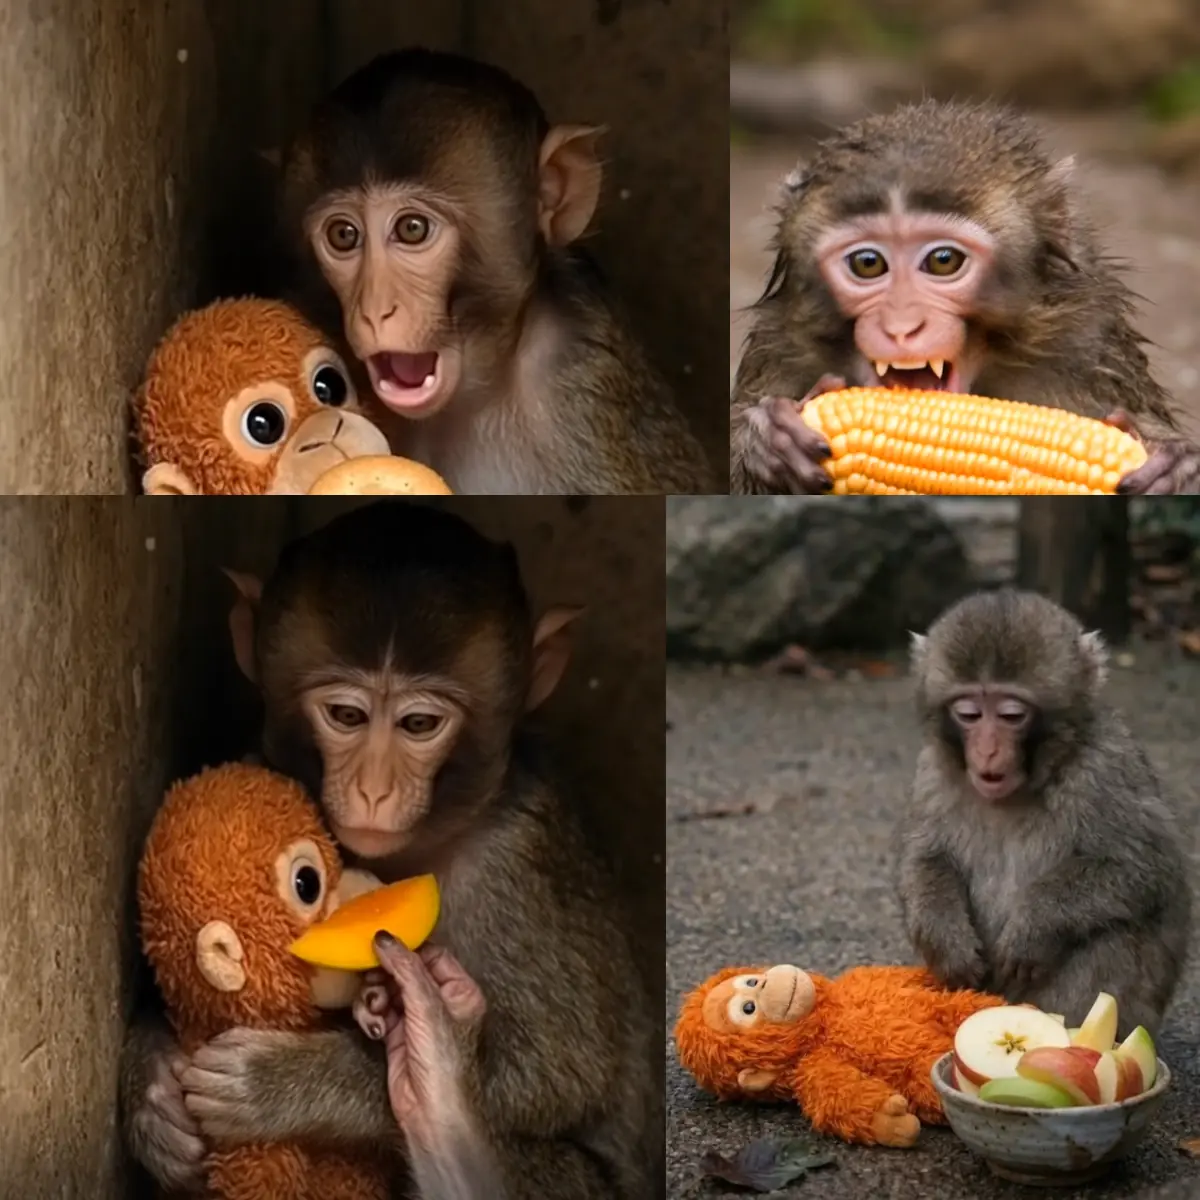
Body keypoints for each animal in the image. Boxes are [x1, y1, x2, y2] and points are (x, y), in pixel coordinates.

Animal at [119, 501, 659, 1199]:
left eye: (419, 725)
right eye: (346, 716)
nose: (374, 790)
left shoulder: (514, 864)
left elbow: (555, 1067)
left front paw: (278, 1081)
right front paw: (153, 1087)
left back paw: (439, 1102)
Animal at [730, 99, 1200, 496]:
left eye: (943, 261)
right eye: (868, 263)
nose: (901, 327)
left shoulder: (1090, 344)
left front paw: (1172, 465)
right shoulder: (779, 347)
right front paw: (768, 438)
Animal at [895, 588, 1192, 1039]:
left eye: (1011, 715)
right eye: (968, 713)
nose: (987, 750)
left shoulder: (1104, 768)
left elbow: (1144, 868)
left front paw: (1033, 926)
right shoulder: (932, 771)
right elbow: (927, 858)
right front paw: (945, 938)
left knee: (1114, 933)